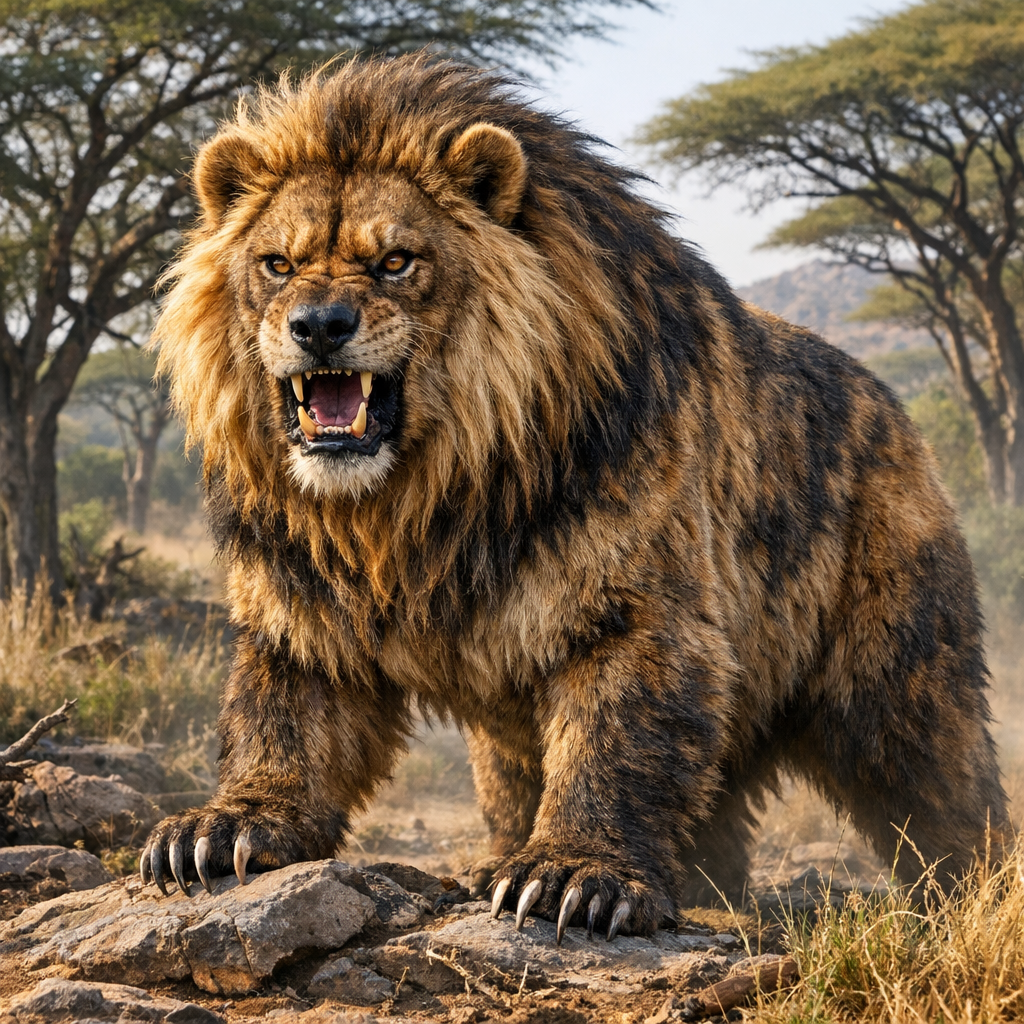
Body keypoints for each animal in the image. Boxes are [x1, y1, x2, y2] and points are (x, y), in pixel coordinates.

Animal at [144, 55, 1008, 939]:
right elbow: (283, 716)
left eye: (396, 262)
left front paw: (572, 876)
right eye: (278, 265)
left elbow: (612, 741)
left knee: (942, 792)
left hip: (899, 675)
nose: (320, 324)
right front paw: (229, 828)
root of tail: (897, 413)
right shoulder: (302, 599)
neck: (415, 497)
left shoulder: (639, 607)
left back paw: (977, 900)